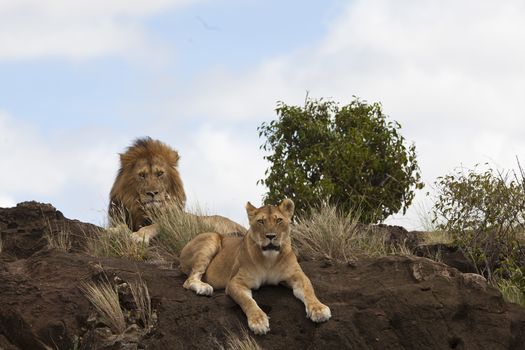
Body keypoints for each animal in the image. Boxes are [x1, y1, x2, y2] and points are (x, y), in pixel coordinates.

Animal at [178, 198, 330, 334]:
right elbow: (248, 301)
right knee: (189, 280)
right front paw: (258, 321)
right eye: (261, 221)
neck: (269, 259)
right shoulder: (236, 282)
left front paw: (319, 309)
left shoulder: (297, 276)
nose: (270, 236)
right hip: (211, 238)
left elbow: (309, 290)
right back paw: (204, 288)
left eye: (279, 220)